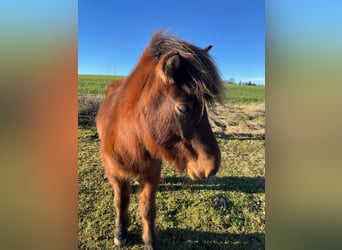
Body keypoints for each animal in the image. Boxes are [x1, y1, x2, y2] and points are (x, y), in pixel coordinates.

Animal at [97, 31, 224, 250]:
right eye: (183, 107)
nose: (212, 166)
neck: (130, 141)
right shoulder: (117, 176)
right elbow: (121, 203)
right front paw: (120, 233)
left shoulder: (151, 175)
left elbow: (148, 208)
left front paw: (150, 241)